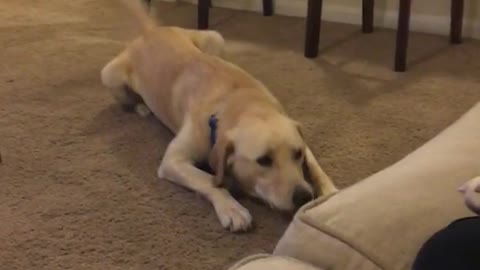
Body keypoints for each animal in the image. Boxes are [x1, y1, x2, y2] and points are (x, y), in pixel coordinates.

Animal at [101, 0, 338, 232]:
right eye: (263, 160)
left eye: (297, 154)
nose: (304, 196)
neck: (241, 104)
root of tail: (152, 30)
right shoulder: (173, 161)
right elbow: (208, 180)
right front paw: (232, 208)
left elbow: (316, 167)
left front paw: (329, 193)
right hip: (109, 74)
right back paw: (141, 107)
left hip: (215, 38)